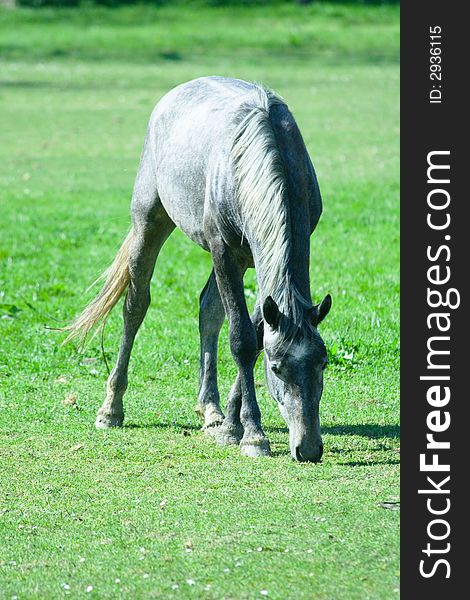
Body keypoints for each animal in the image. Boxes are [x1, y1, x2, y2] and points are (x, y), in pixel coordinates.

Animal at [65, 76, 330, 464]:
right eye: (277, 367)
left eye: (322, 364)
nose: (308, 448)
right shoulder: (223, 252)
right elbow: (242, 339)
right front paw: (250, 435)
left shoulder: (256, 262)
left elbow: (254, 334)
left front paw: (231, 422)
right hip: (149, 222)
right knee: (135, 306)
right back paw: (111, 409)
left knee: (209, 310)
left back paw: (211, 409)